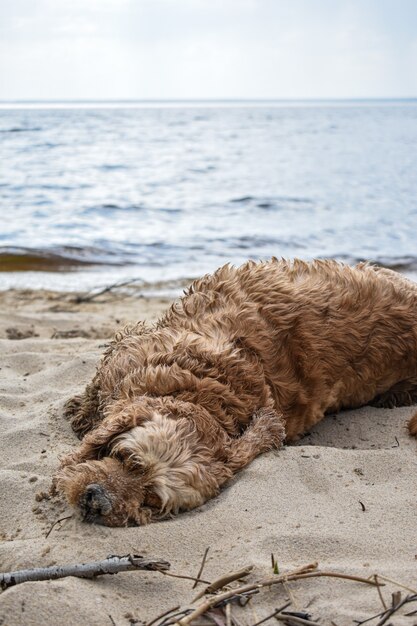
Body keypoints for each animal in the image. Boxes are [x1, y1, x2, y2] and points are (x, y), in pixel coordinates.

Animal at [54, 256, 416, 524]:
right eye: (127, 459)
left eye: (151, 501)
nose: (96, 501)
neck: (204, 392)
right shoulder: (127, 351)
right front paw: (81, 413)